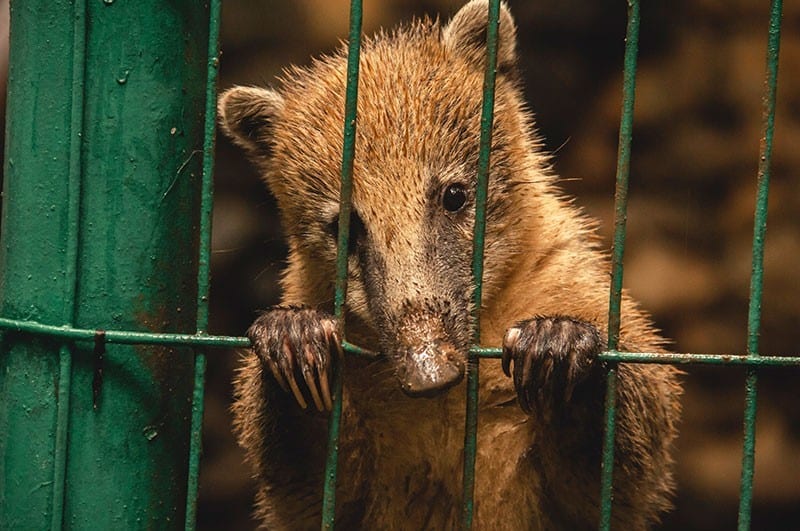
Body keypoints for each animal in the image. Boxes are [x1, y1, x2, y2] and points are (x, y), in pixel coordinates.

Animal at [217, 2, 680, 528]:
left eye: (455, 195)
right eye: (344, 227)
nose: (429, 372)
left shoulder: (576, 277)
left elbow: (623, 471)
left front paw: (557, 344)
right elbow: (308, 494)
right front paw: (295, 340)